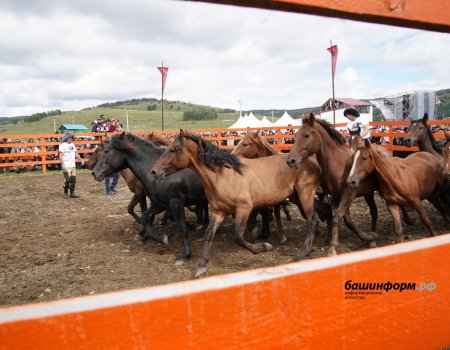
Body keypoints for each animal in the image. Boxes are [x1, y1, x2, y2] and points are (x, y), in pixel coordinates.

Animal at [151, 130, 324, 278]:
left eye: (174, 149)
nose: (154, 171)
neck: (223, 176)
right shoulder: (218, 212)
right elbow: (208, 234)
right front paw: (202, 265)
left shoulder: (244, 209)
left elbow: (238, 237)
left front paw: (263, 247)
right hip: (296, 197)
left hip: (305, 194)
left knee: (313, 219)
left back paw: (305, 253)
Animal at [286, 113, 378, 256]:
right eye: (295, 136)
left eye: (306, 135)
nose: (291, 160)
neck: (339, 164)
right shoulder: (338, 196)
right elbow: (347, 220)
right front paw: (367, 237)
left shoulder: (349, 194)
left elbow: (336, 218)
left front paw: (333, 248)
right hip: (368, 194)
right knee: (374, 211)